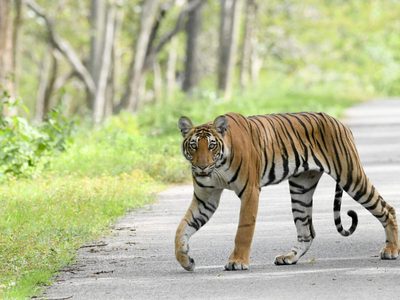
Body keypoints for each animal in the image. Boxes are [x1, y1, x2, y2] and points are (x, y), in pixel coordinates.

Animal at [176, 111, 400, 270]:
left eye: (212, 146)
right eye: (194, 146)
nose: (202, 167)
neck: (218, 167)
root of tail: (339, 123)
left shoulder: (250, 192)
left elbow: (244, 230)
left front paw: (237, 261)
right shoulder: (206, 197)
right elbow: (182, 228)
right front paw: (186, 260)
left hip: (351, 177)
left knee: (386, 208)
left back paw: (391, 250)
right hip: (301, 188)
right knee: (307, 232)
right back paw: (289, 258)